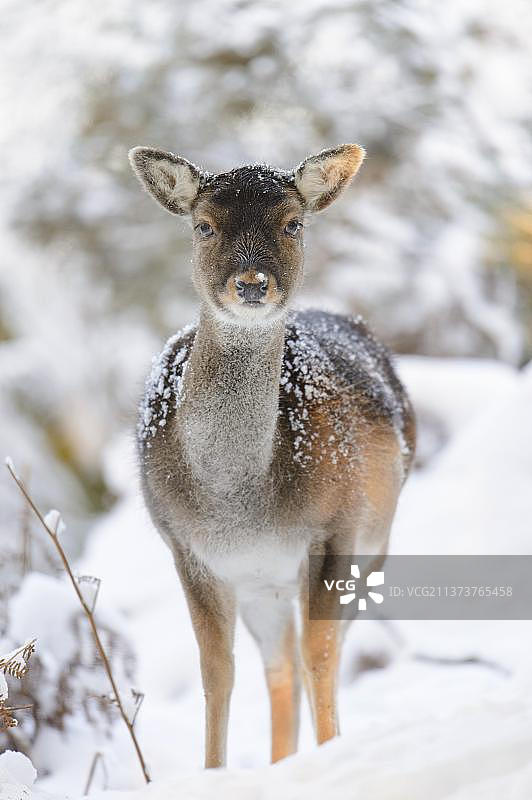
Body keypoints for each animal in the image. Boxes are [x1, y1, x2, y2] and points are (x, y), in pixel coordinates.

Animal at [128, 143, 415, 769]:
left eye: (293, 223)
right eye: (204, 225)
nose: (252, 284)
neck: (239, 502)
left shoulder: (335, 527)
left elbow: (322, 657)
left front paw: (331, 756)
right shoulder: (186, 547)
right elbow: (217, 672)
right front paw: (213, 773)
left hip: (373, 546)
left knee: (315, 656)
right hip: (265, 586)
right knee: (278, 669)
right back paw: (281, 762)